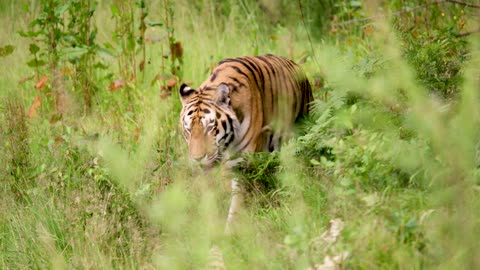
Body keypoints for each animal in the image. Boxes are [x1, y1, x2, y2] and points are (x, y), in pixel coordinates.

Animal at [178, 54, 314, 232]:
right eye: (188, 130)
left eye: (209, 128)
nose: (197, 158)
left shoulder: (240, 164)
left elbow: (236, 203)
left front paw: (229, 233)